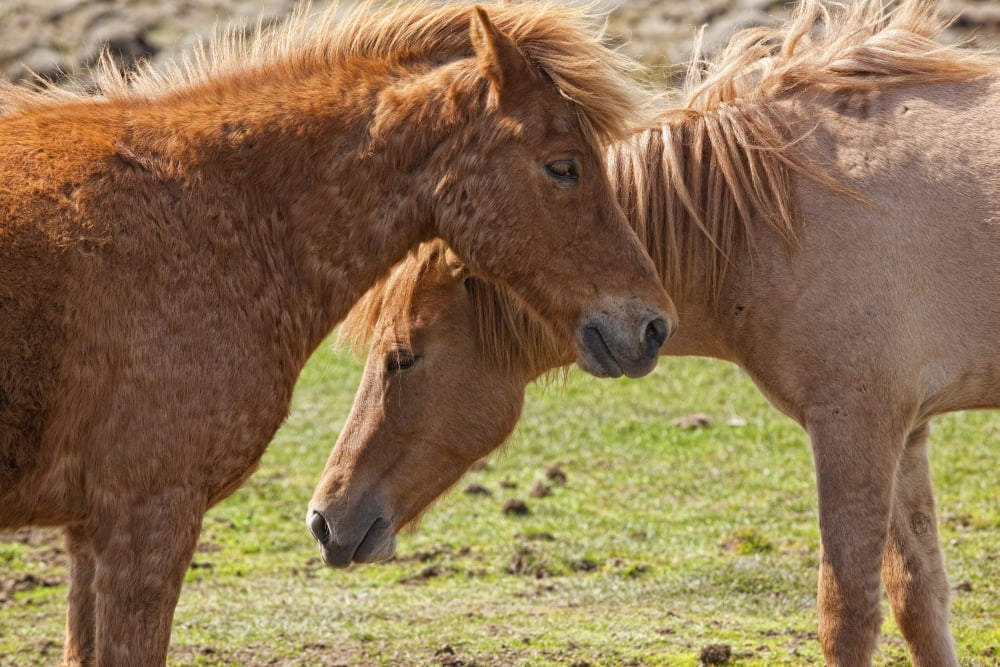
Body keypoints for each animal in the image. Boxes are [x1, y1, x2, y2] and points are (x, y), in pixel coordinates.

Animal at [309, 1, 1000, 665]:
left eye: (402, 358)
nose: (323, 519)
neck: (776, 216)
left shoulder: (856, 428)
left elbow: (848, 615)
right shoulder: (906, 433)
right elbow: (919, 601)